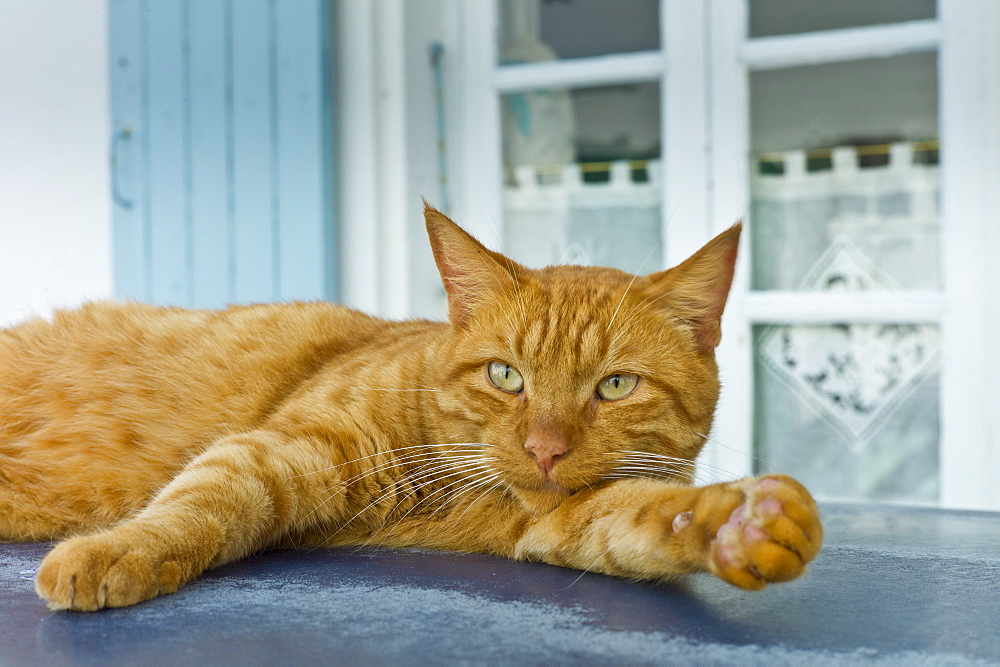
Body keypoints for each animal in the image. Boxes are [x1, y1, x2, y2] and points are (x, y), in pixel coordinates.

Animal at [0, 207, 820, 612]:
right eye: (506, 376)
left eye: (615, 386)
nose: (545, 449)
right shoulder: (278, 447)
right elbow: (198, 504)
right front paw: (112, 551)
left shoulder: (557, 520)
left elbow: (639, 520)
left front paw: (741, 522)